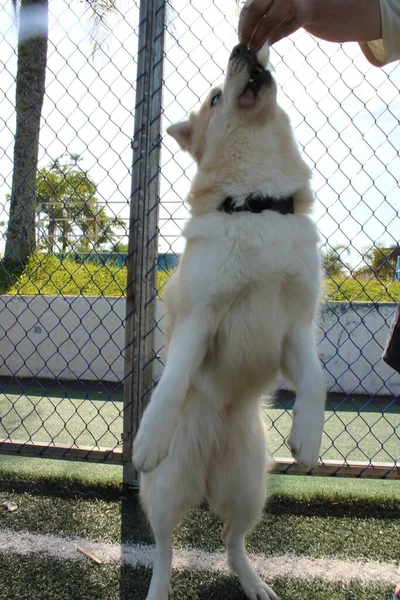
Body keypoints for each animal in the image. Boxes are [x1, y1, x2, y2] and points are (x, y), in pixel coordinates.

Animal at [133, 43, 326, 600]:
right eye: (216, 96)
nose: (245, 46)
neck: (256, 203)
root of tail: (207, 476)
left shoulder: (295, 326)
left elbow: (317, 382)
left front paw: (308, 438)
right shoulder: (201, 319)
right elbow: (173, 382)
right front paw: (148, 436)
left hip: (249, 490)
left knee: (230, 539)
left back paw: (253, 581)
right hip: (168, 490)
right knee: (165, 547)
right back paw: (159, 587)